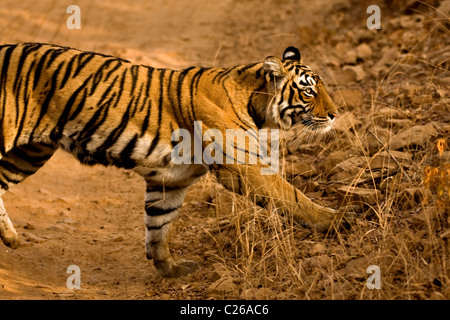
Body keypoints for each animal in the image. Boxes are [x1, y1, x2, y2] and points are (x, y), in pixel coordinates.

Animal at [0, 42, 338, 278]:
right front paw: (337, 219)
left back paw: (10, 239)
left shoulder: (170, 179)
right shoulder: (244, 167)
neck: (256, 103)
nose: (335, 113)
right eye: (309, 91)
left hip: (30, 153)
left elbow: (159, 225)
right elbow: (293, 197)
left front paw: (170, 269)